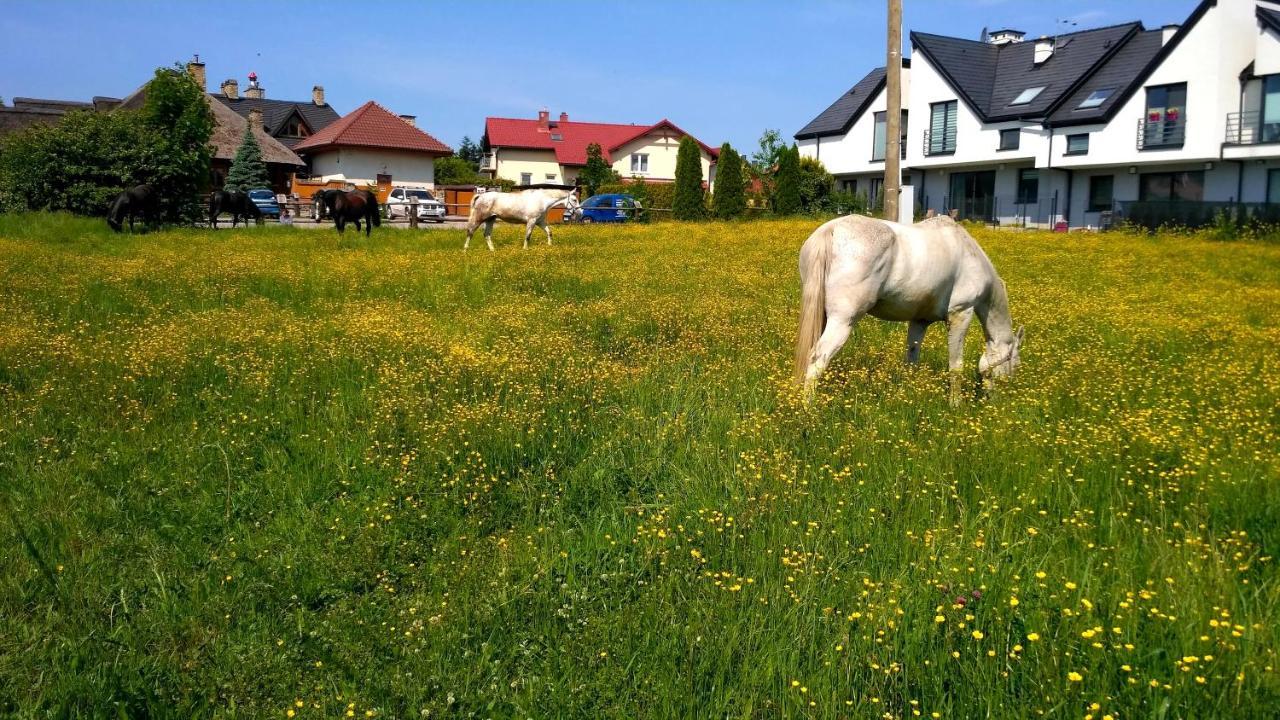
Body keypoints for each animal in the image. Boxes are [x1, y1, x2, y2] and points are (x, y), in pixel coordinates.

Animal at [793, 212, 1024, 392]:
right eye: (1014, 362)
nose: (994, 398)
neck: (969, 254)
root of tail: (831, 230)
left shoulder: (919, 321)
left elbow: (912, 358)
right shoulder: (961, 314)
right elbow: (956, 366)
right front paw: (956, 405)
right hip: (843, 321)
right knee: (817, 359)